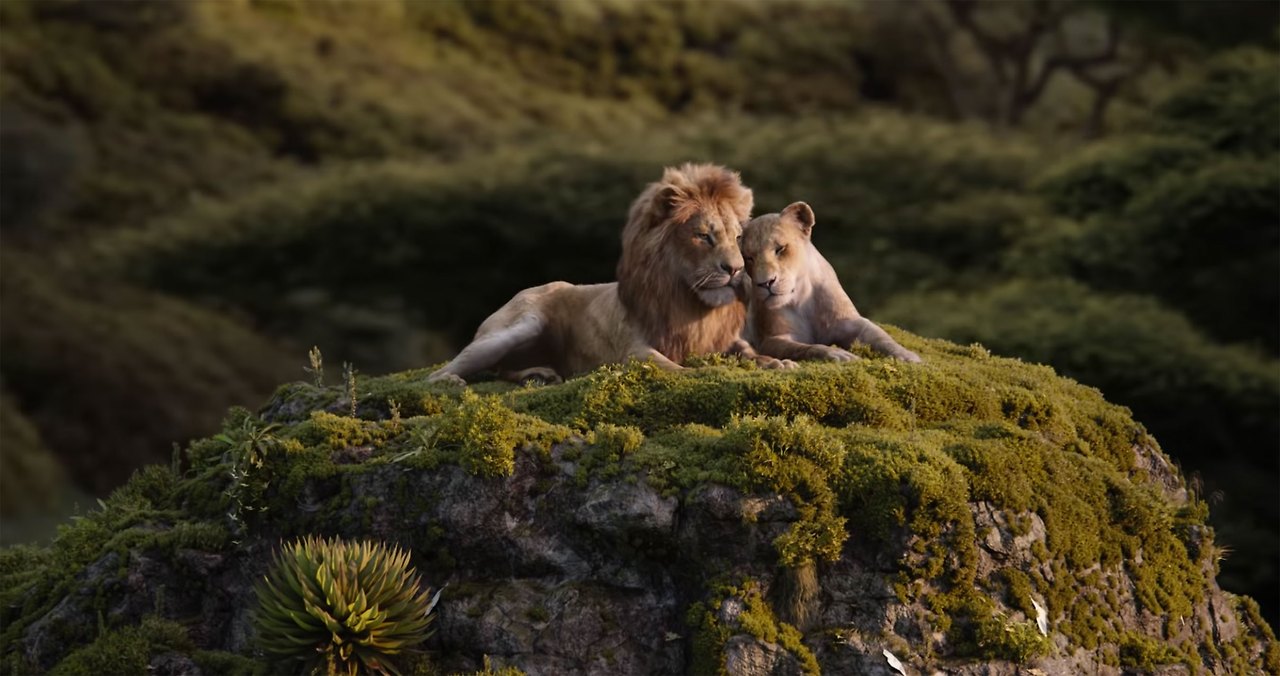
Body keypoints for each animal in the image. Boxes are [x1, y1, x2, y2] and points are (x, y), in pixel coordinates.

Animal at [426, 163, 793, 386]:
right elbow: (673, 367)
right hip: (522, 324)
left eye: (738, 237)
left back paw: (540, 374)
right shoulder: (632, 351)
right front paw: (702, 373)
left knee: (503, 369)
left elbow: (750, 352)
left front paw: (777, 363)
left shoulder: (724, 340)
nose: (735, 269)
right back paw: (450, 380)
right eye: (704, 236)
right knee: (453, 368)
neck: (691, 303)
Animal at [741, 201, 922, 363]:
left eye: (780, 249)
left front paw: (908, 356)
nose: (765, 283)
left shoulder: (848, 322)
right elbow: (806, 347)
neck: (801, 298)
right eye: (748, 258)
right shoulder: (771, 339)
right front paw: (839, 354)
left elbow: (879, 336)